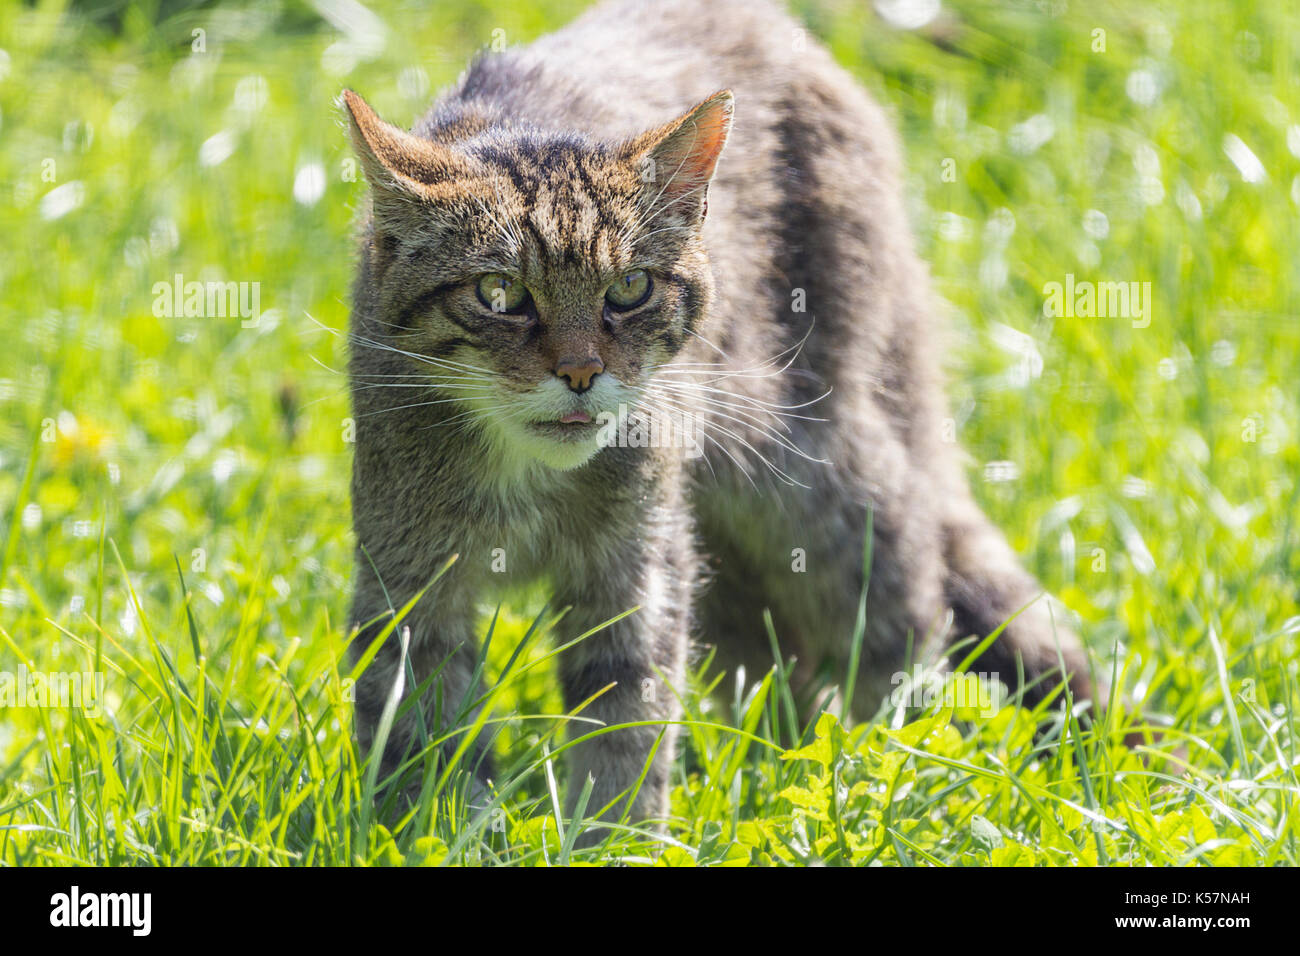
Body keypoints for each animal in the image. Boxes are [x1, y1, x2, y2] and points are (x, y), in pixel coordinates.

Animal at [340, 0, 1092, 832]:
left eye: (630, 288)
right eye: (499, 294)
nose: (581, 373)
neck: (527, 474)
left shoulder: (636, 570)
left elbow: (624, 717)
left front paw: (616, 835)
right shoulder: (409, 583)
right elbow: (419, 735)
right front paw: (429, 830)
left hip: (821, 482)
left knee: (900, 620)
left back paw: (881, 773)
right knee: (782, 668)